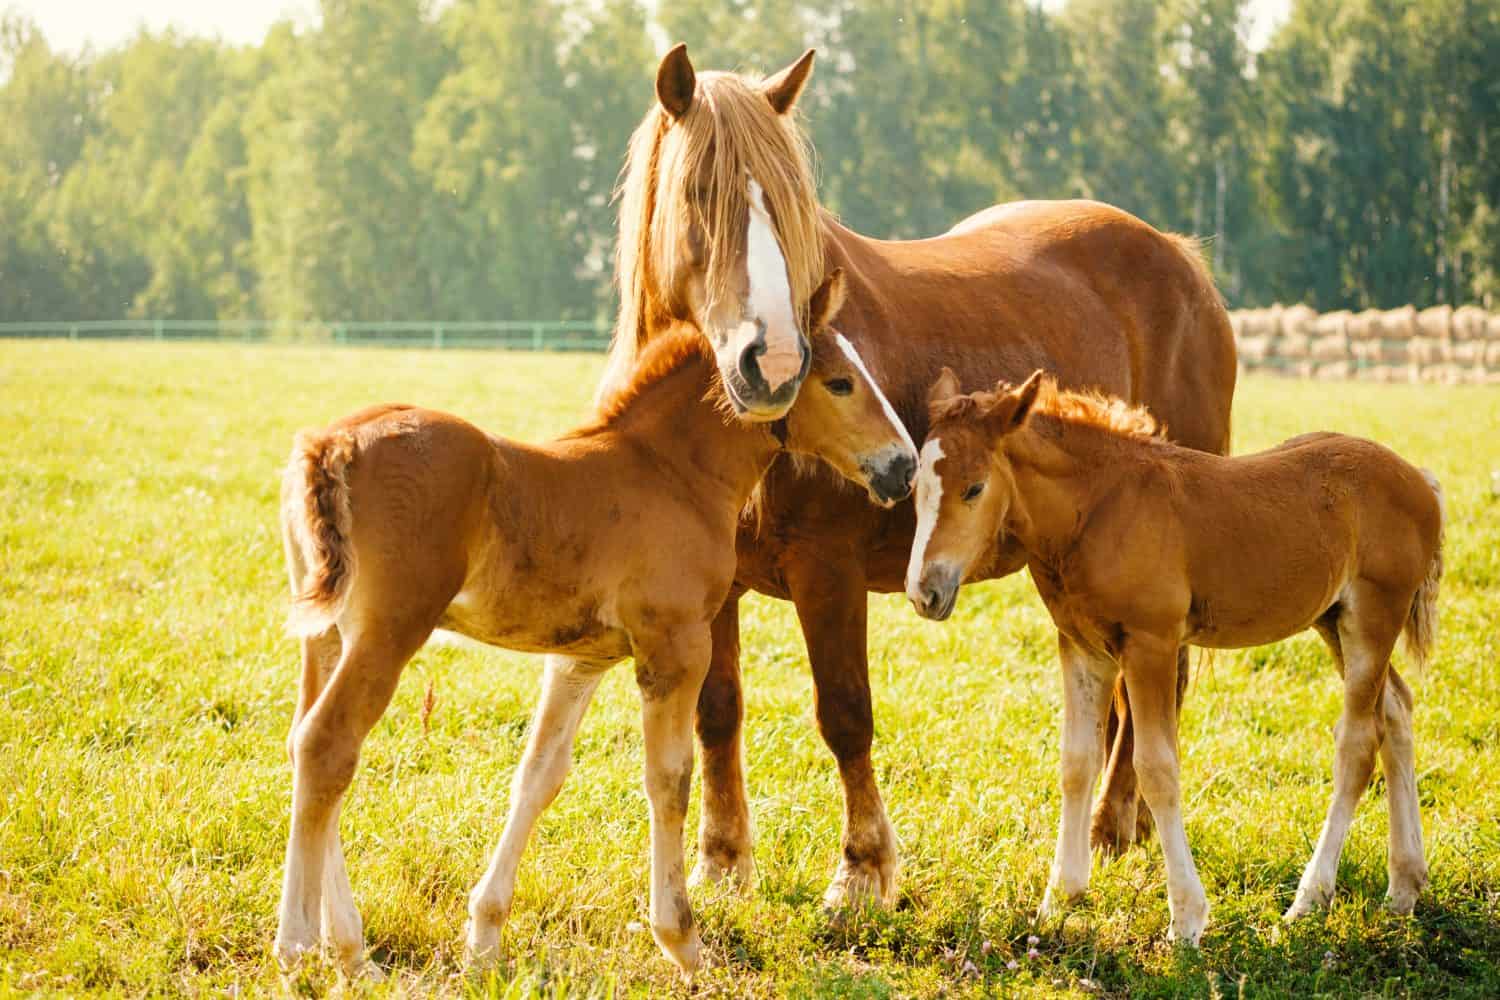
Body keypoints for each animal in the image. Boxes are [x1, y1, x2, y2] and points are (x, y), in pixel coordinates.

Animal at [271, 270, 918, 977]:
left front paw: (484, 940)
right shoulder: (674, 650)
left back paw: (349, 950)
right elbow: (669, 779)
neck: (670, 471)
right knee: (327, 744)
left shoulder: (581, 658)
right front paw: (683, 941)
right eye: (840, 382)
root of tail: (331, 443)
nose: (904, 465)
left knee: (307, 743)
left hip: (327, 634)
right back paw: (300, 947)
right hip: (388, 631)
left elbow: (538, 776)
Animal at [599, 43, 1237, 907]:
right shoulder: (709, 581)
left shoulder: (827, 572)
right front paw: (723, 862)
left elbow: (844, 714)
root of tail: (1180, 257)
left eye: (792, 206)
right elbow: (717, 711)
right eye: (700, 193)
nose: (774, 365)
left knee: (1153, 690)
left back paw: (1110, 827)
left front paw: (862, 871)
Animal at [907, 368, 1443, 944]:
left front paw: (1186, 917)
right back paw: (1404, 887)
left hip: (1372, 618)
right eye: (917, 489)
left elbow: (1157, 768)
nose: (924, 592)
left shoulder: (1152, 644)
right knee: (1397, 711)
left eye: (974, 488)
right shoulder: (1081, 645)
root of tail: (1421, 482)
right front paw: (1060, 898)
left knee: (1359, 743)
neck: (1098, 509)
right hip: (1333, 621)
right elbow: (1077, 763)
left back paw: (1310, 898)